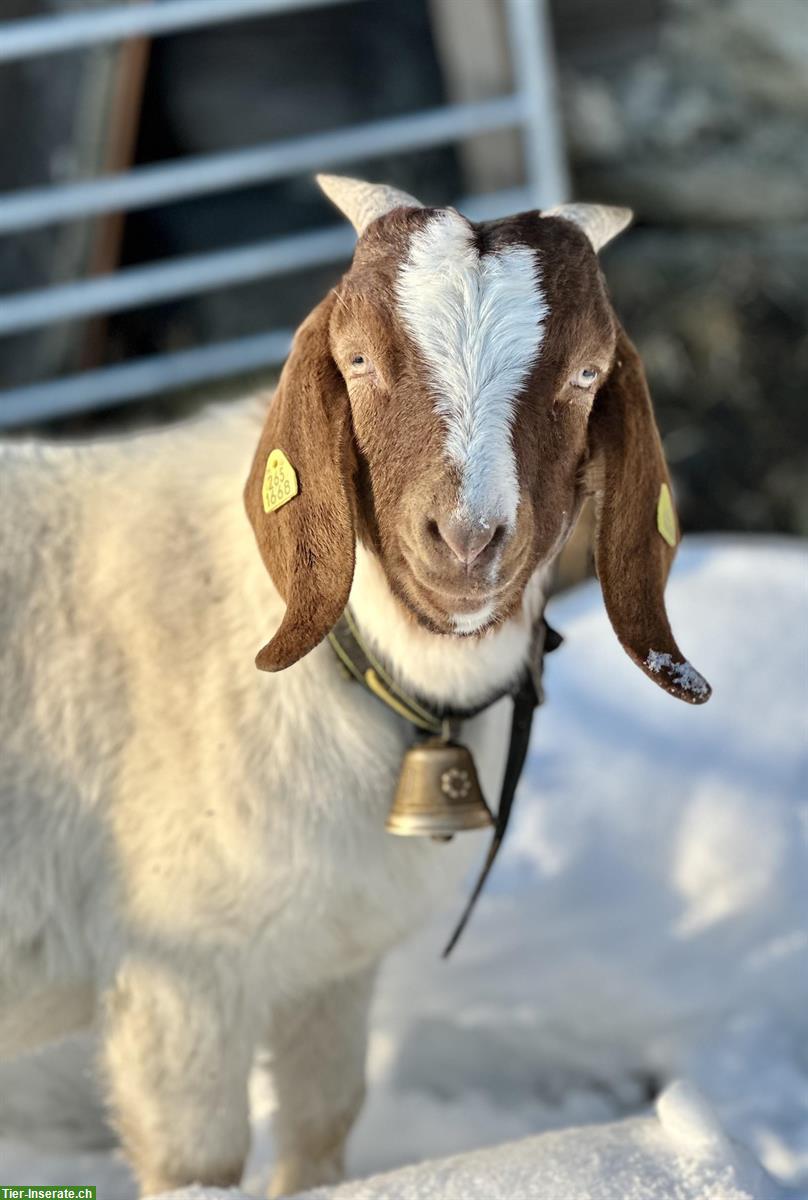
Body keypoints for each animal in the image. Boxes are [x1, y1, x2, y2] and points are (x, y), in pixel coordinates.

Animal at [0, 174, 705, 1195]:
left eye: (586, 374)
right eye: (361, 359)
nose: (466, 538)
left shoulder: (331, 964)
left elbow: (324, 1124)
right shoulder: (182, 976)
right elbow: (200, 1162)